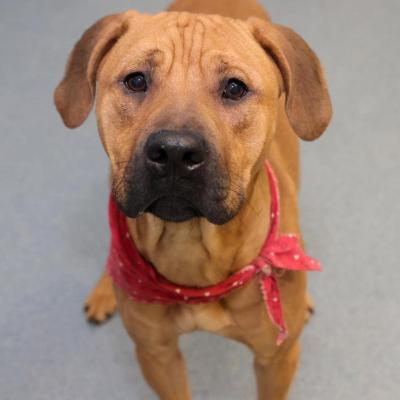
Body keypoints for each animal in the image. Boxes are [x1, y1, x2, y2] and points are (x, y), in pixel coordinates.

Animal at [54, 1, 332, 398]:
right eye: (136, 80)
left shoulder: (276, 359)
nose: (174, 151)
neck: (191, 245)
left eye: (234, 87)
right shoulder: (156, 354)